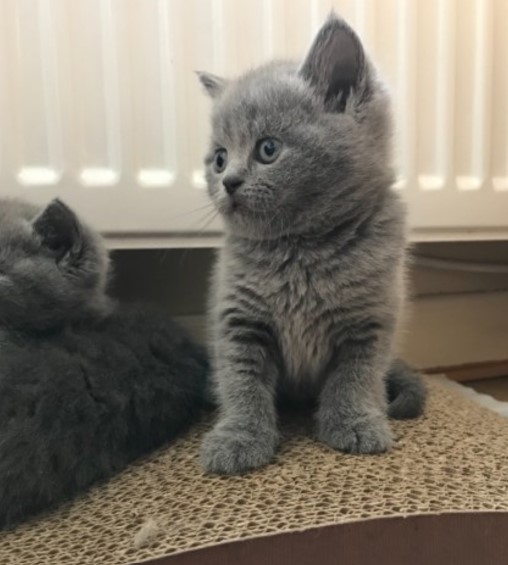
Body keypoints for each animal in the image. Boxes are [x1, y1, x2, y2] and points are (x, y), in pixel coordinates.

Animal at [197, 13, 424, 474]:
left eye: (268, 149)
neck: (300, 249)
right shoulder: (238, 319)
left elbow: (354, 378)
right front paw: (239, 437)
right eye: (219, 158)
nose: (229, 182)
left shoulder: (370, 322)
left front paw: (355, 423)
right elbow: (241, 382)